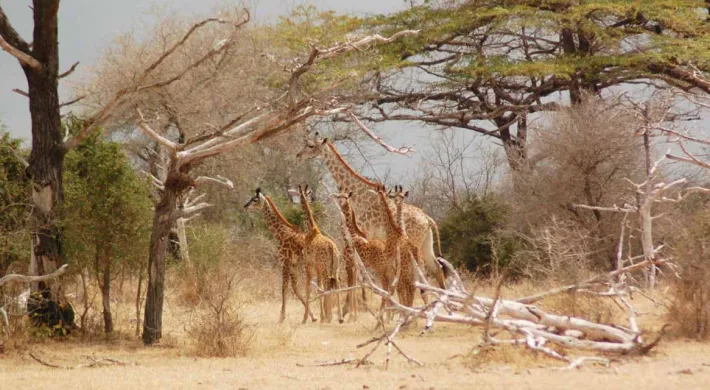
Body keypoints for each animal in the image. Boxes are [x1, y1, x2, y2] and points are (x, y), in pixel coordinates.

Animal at [243, 189, 316, 322]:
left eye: (255, 199)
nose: (245, 206)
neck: (281, 234)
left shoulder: (285, 262)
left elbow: (284, 288)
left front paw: (281, 317)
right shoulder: (292, 264)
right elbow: (295, 288)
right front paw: (312, 316)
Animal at [294, 134, 444, 290]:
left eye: (310, 145)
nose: (298, 156)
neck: (360, 197)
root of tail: (427, 219)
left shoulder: (363, 235)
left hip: (414, 242)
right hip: (426, 243)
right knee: (436, 268)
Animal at [298, 185, 344, 322]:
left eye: (300, 195)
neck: (311, 230)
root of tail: (332, 248)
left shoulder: (308, 264)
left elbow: (309, 288)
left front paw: (305, 318)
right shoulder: (317, 267)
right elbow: (319, 288)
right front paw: (322, 316)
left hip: (325, 267)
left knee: (328, 284)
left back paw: (329, 317)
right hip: (335, 267)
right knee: (336, 284)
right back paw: (339, 317)